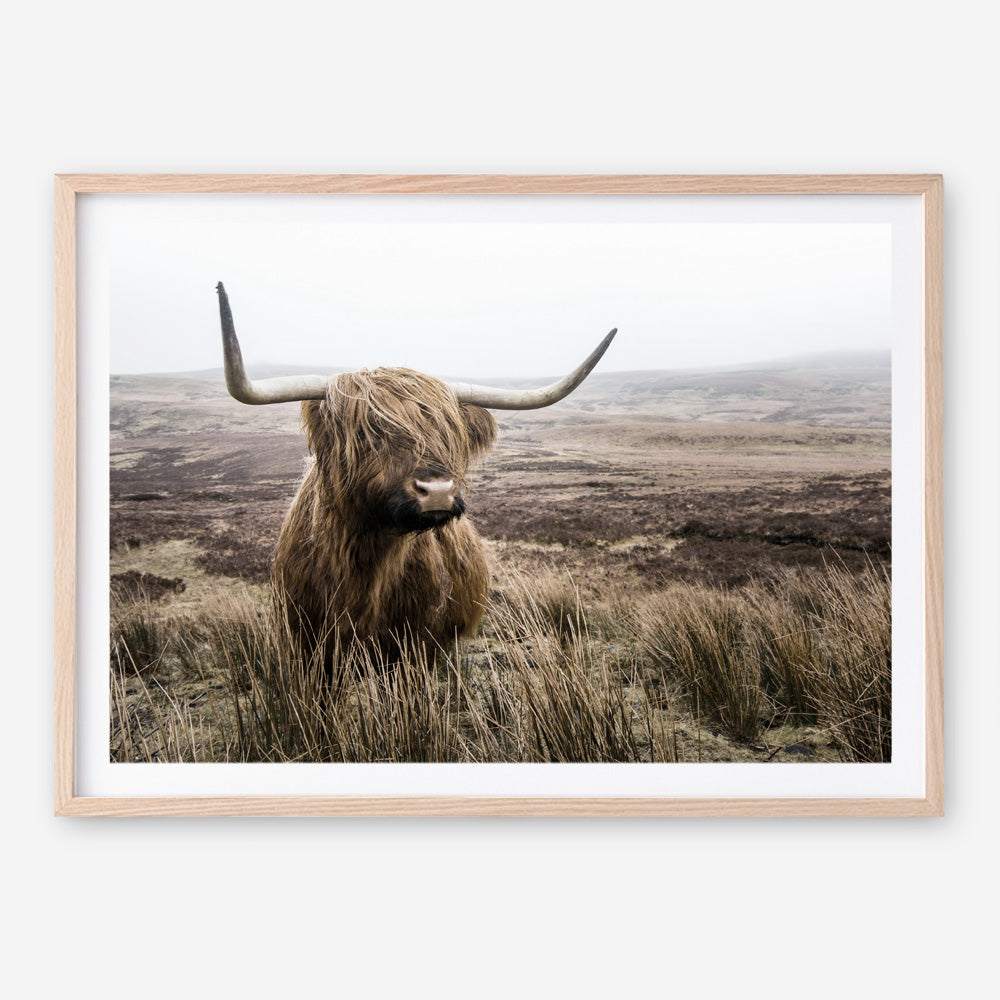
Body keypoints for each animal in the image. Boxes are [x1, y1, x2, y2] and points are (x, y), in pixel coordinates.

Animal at [215, 282, 615, 668]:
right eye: (367, 433)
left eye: (450, 434)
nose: (437, 491)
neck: (365, 566)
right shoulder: (306, 646)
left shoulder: (417, 646)